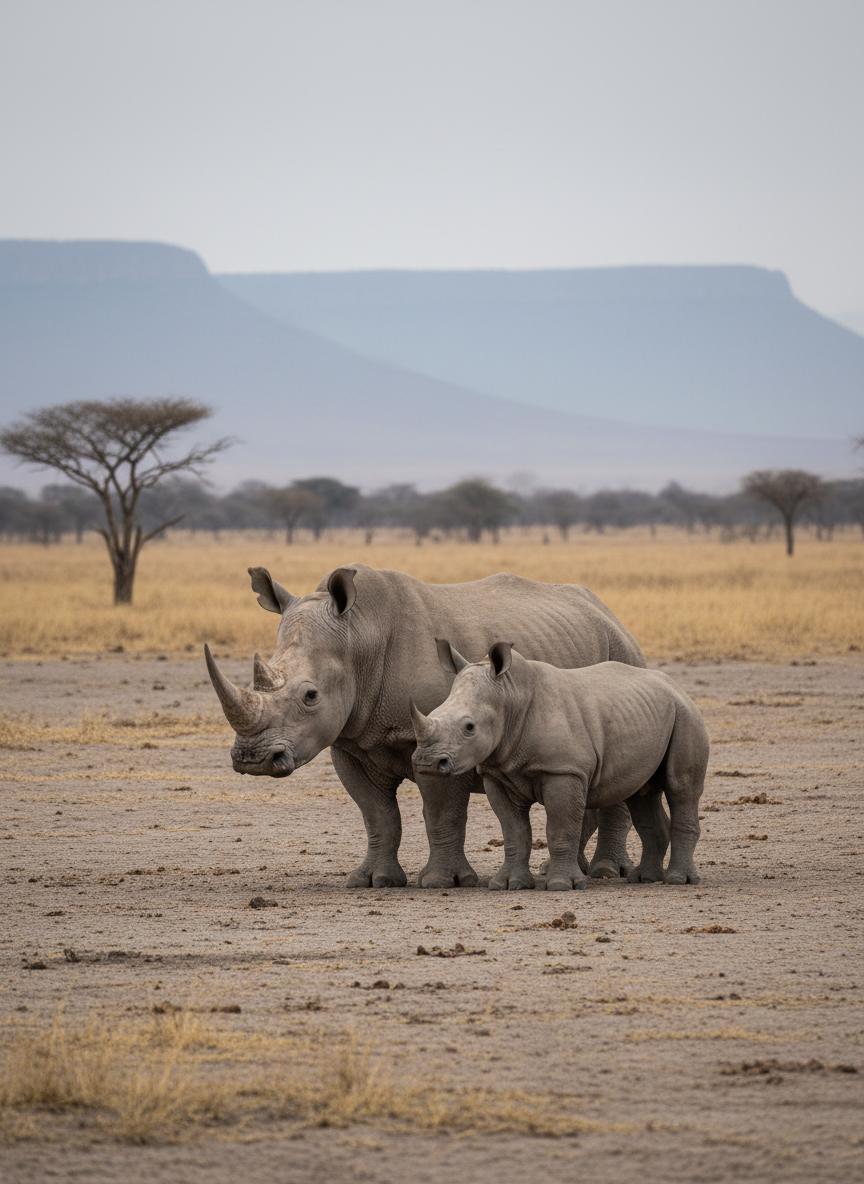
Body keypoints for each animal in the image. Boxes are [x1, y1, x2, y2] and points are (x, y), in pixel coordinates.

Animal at [205, 563, 647, 889]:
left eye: (310, 696)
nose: (252, 759)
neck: (358, 639)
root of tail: (606, 610)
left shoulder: (442, 743)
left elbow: (442, 811)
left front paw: (441, 881)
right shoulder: (349, 742)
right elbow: (377, 814)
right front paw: (373, 881)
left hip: (624, 650)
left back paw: (606, 873)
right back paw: (569, 870)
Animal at [411, 640, 708, 890]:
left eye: (469, 727)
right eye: (433, 713)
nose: (427, 762)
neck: (509, 698)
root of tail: (677, 687)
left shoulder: (564, 771)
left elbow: (561, 827)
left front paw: (562, 885)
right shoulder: (498, 774)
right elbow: (514, 831)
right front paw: (508, 884)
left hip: (686, 714)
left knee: (681, 788)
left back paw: (678, 881)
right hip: (650, 712)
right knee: (641, 794)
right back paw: (644, 879)